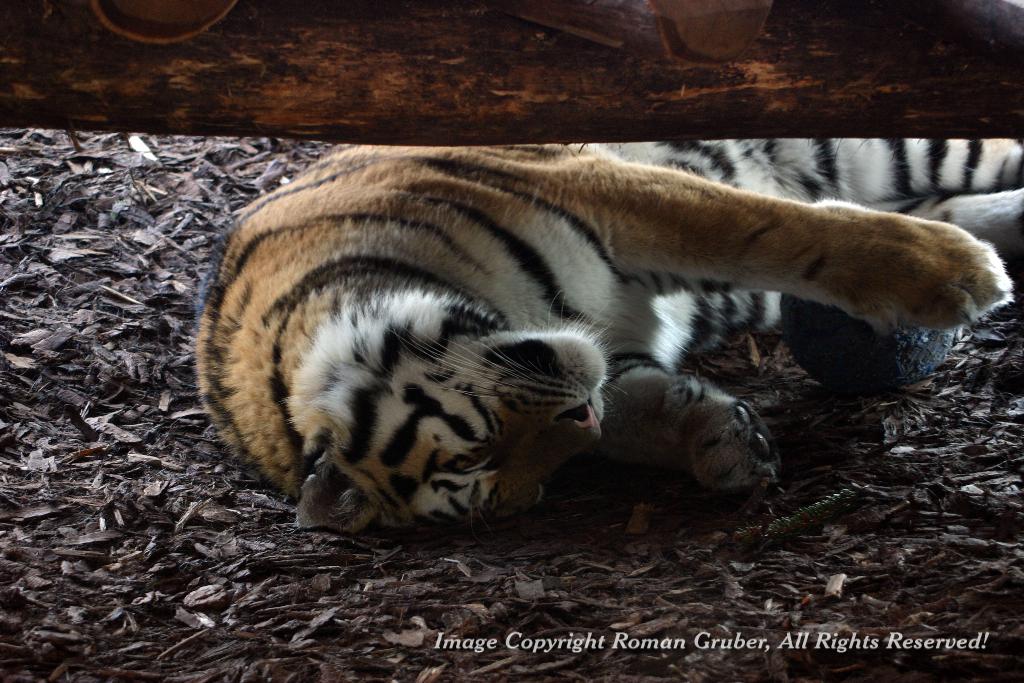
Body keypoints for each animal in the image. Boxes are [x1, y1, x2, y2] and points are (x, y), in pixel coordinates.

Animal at [193, 140, 1015, 532]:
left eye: (475, 448)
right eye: (513, 485)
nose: (579, 415)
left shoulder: (602, 188)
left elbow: (766, 228)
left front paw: (947, 272)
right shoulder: (611, 357)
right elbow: (638, 406)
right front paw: (723, 443)